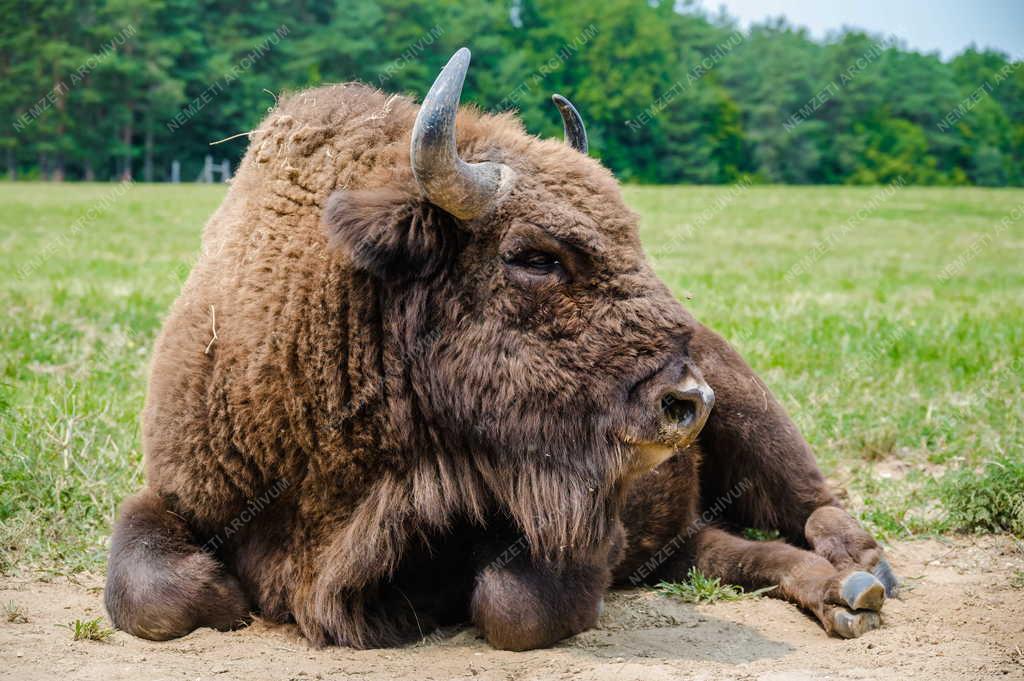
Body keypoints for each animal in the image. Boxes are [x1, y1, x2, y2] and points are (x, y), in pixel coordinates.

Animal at [105, 47, 897, 647]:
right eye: (533, 256)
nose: (686, 401)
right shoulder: (181, 490)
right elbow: (148, 591)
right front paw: (229, 597)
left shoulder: (568, 531)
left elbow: (517, 607)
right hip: (691, 524)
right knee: (730, 549)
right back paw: (842, 592)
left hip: (759, 419)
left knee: (814, 501)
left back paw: (866, 573)